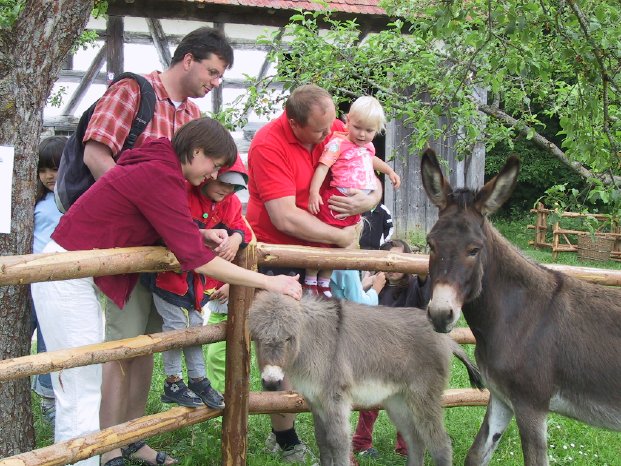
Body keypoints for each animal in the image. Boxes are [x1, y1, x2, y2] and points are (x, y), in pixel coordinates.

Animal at [247, 294, 480, 464]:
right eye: (256, 338)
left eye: (289, 338)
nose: (271, 382)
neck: (312, 343)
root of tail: (447, 339)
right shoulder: (315, 401)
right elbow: (322, 441)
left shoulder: (335, 397)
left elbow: (338, 441)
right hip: (397, 401)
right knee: (415, 440)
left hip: (423, 396)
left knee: (440, 444)